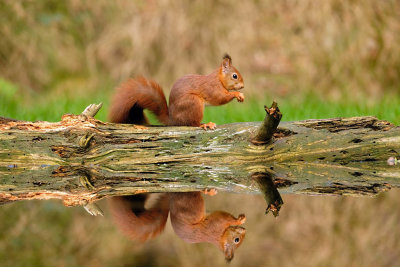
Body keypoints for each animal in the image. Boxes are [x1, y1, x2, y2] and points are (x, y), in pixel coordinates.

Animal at [108, 53, 244, 130]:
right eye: (235, 76)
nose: (242, 86)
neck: (218, 79)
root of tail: (173, 120)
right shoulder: (212, 87)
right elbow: (219, 98)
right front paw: (237, 94)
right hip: (194, 103)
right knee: (192, 124)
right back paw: (204, 124)